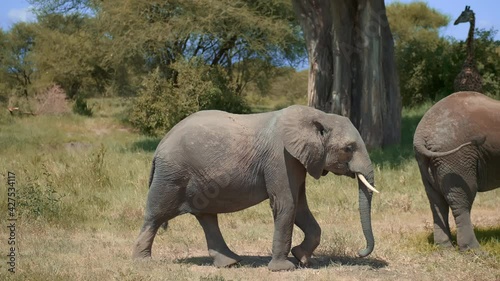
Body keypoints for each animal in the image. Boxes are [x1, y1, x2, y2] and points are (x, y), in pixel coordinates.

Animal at [131, 104, 376, 270]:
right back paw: (143, 262)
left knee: (207, 216)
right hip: (172, 175)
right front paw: (284, 268)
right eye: (348, 148)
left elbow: (300, 207)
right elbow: (286, 204)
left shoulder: (297, 161)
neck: (318, 116)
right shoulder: (281, 158)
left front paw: (301, 257)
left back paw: (230, 263)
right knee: (156, 215)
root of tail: (160, 145)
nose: (359, 252)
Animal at [414, 90, 500, 249]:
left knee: (436, 202)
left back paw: (445, 248)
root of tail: (421, 135)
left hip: (426, 161)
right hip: (456, 159)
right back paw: (473, 250)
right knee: (462, 200)